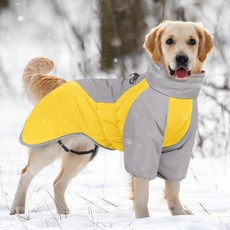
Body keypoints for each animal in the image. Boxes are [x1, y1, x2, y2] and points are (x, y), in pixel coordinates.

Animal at [9, 20, 214, 218]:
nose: (182, 58)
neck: (172, 93)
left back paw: (64, 214)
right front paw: (144, 220)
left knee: (58, 182)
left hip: (81, 154)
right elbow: (142, 193)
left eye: (192, 41)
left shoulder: (178, 149)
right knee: (26, 173)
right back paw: (18, 208)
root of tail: (61, 85)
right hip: (50, 147)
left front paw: (179, 215)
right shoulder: (142, 148)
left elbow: (173, 186)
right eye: (169, 41)